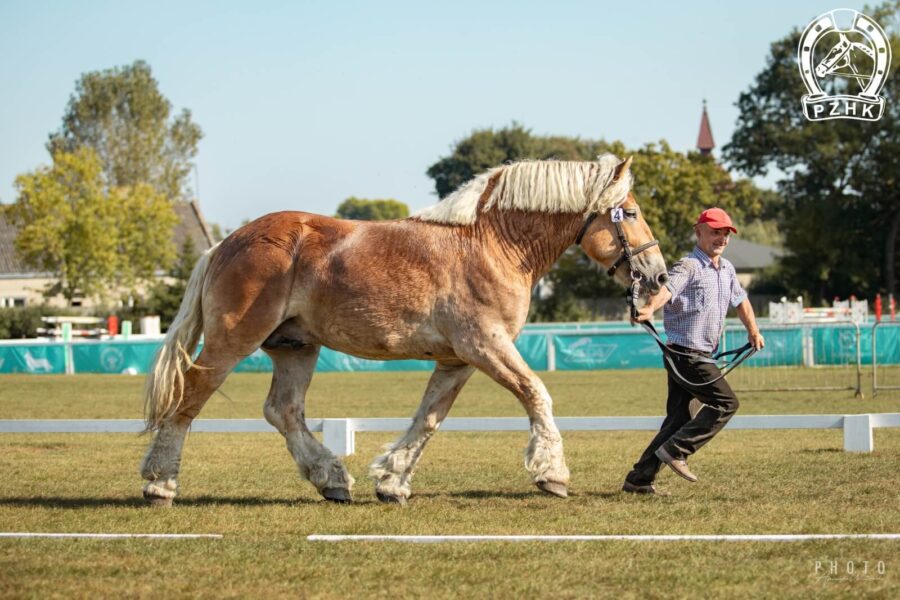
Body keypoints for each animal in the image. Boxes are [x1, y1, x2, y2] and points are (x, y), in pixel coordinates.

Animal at [141, 154, 668, 506]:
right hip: (232, 342)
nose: (659, 278)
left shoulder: (457, 360)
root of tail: (226, 244)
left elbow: (429, 418)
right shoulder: (486, 346)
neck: (492, 243)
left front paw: (392, 481)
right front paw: (552, 474)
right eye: (632, 213)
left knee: (284, 411)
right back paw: (159, 483)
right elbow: (536, 393)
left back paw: (332, 480)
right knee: (189, 397)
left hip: (296, 347)